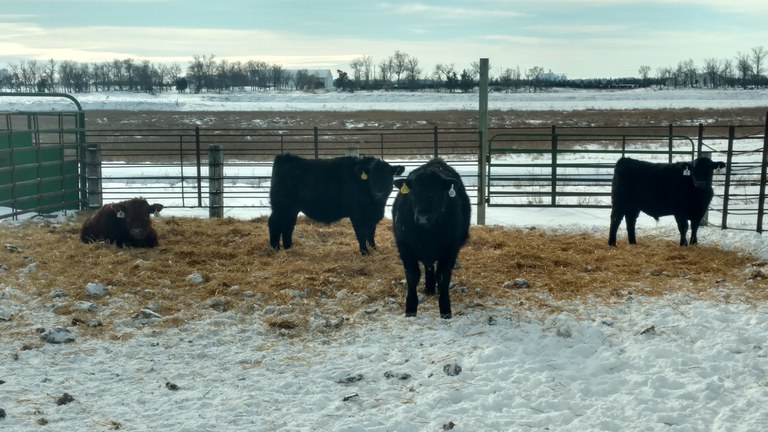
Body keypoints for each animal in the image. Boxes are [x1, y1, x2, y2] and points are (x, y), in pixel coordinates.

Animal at [268, 153, 405, 255]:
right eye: (372, 178)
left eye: (388, 177)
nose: (379, 193)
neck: (375, 205)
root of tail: (285, 157)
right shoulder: (357, 215)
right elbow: (361, 233)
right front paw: (364, 252)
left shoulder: (372, 216)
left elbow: (371, 233)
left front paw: (374, 248)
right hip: (281, 206)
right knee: (274, 223)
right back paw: (275, 249)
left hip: (291, 209)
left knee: (288, 226)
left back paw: (288, 248)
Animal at [392, 158, 471, 319]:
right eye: (413, 194)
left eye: (435, 194)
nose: (422, 217)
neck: (428, 233)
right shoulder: (405, 248)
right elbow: (413, 276)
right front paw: (410, 309)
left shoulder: (450, 251)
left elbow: (443, 276)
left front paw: (445, 310)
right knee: (428, 267)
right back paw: (429, 288)